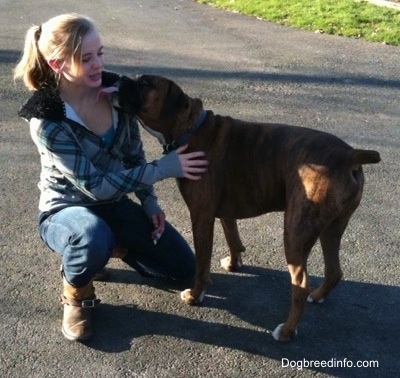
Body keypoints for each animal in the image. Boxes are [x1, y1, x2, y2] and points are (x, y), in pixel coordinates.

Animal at [120, 74, 380, 342]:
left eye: (145, 83)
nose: (121, 79)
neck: (191, 129)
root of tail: (349, 155)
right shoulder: (223, 213)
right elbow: (233, 238)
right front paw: (234, 264)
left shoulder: (201, 216)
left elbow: (202, 262)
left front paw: (195, 295)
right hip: (332, 228)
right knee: (334, 270)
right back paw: (317, 296)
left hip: (296, 233)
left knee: (299, 285)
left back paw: (287, 331)